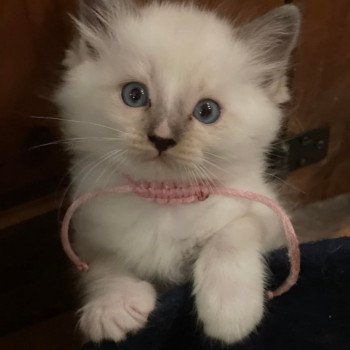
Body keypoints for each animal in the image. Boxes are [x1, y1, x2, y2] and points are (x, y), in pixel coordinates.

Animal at [55, 0, 300, 344]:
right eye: (134, 95)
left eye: (207, 112)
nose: (162, 138)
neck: (164, 202)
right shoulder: (87, 233)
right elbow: (104, 262)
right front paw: (111, 307)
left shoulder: (272, 222)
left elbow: (232, 231)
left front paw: (229, 310)